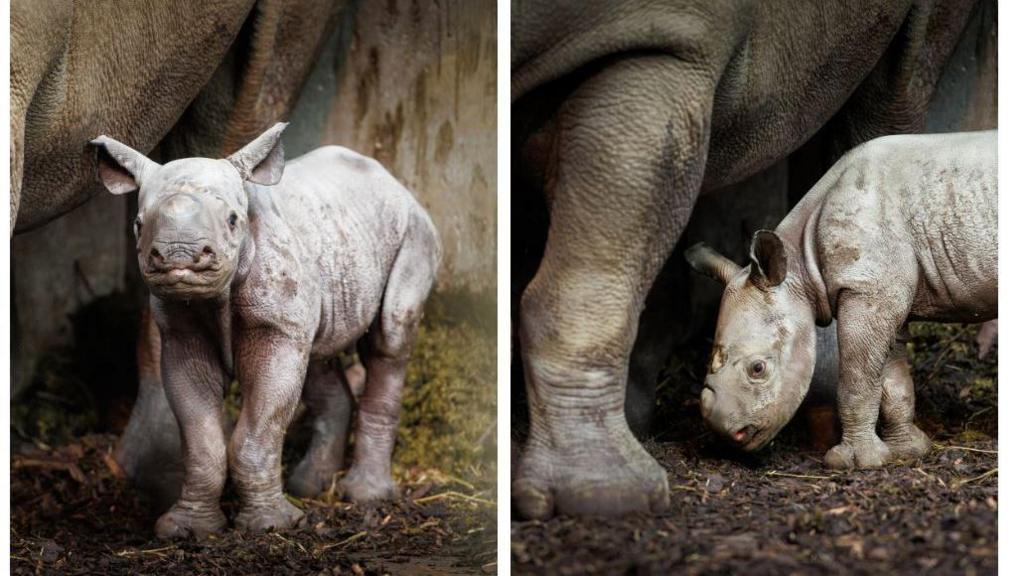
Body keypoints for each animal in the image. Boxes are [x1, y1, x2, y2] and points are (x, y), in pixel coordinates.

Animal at [90, 123, 441, 538]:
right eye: (138, 224)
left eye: (232, 220)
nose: (179, 257)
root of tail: (393, 181)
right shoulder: (182, 337)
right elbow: (200, 439)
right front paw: (187, 530)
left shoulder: (274, 327)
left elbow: (259, 428)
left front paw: (271, 526)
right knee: (317, 355)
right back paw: (308, 487)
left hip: (415, 230)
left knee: (389, 339)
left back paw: (365, 496)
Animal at [686, 130, 996, 469]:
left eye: (758, 369)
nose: (729, 434)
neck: (799, 265)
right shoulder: (886, 294)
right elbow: (891, 379)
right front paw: (905, 452)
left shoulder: (868, 287)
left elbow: (856, 379)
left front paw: (855, 462)